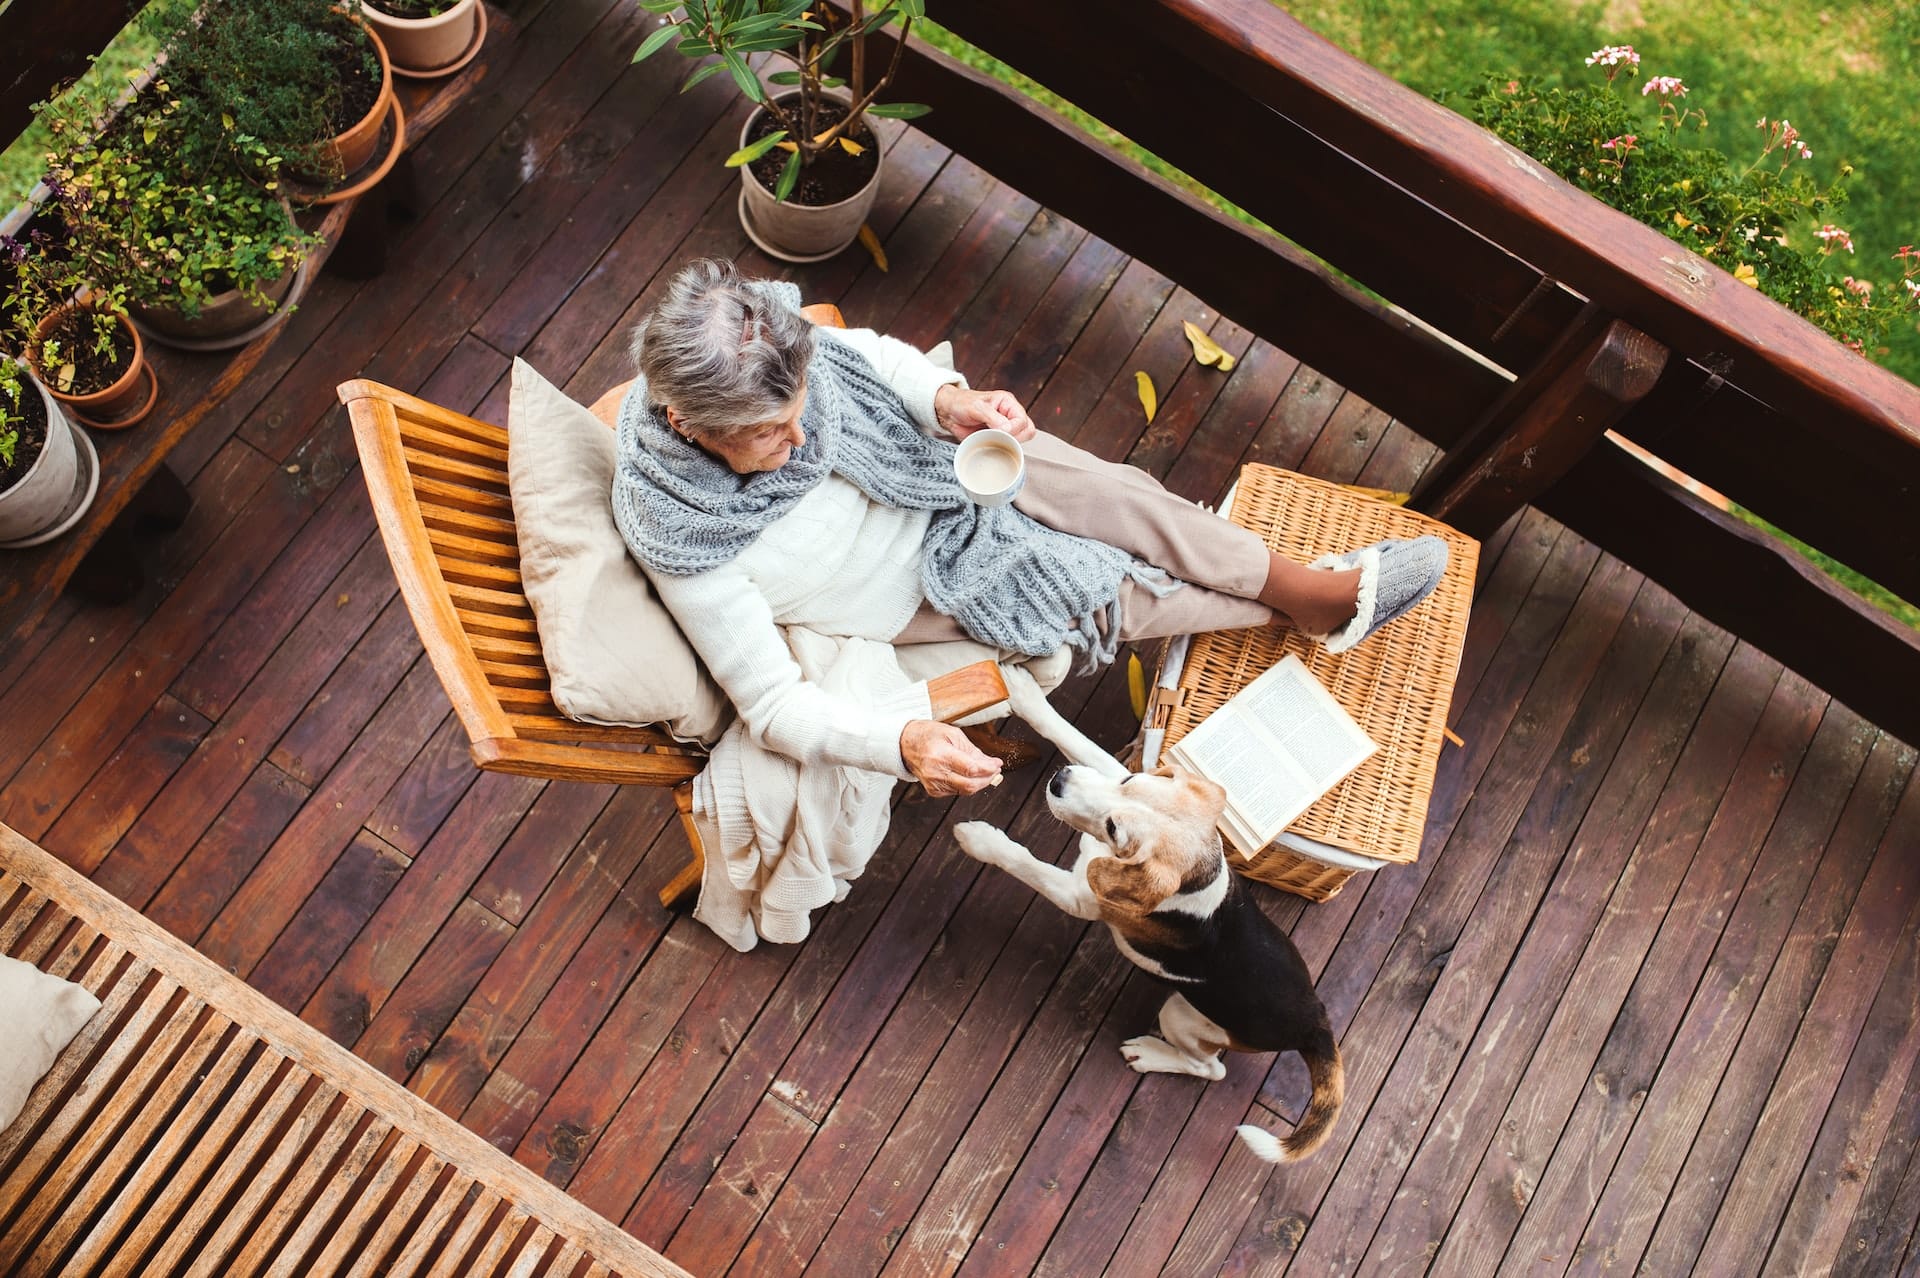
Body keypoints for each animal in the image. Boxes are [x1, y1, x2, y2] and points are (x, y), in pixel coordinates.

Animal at [952, 671, 1344, 1159]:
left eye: (1115, 829)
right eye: (1130, 779)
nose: (1058, 781)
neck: (1197, 880)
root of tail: (1317, 1024)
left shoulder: (1077, 896)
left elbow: (1024, 862)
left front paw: (980, 840)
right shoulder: (1104, 770)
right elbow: (1074, 739)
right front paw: (1026, 696)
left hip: (1182, 1016)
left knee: (1210, 1070)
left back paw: (1151, 1054)